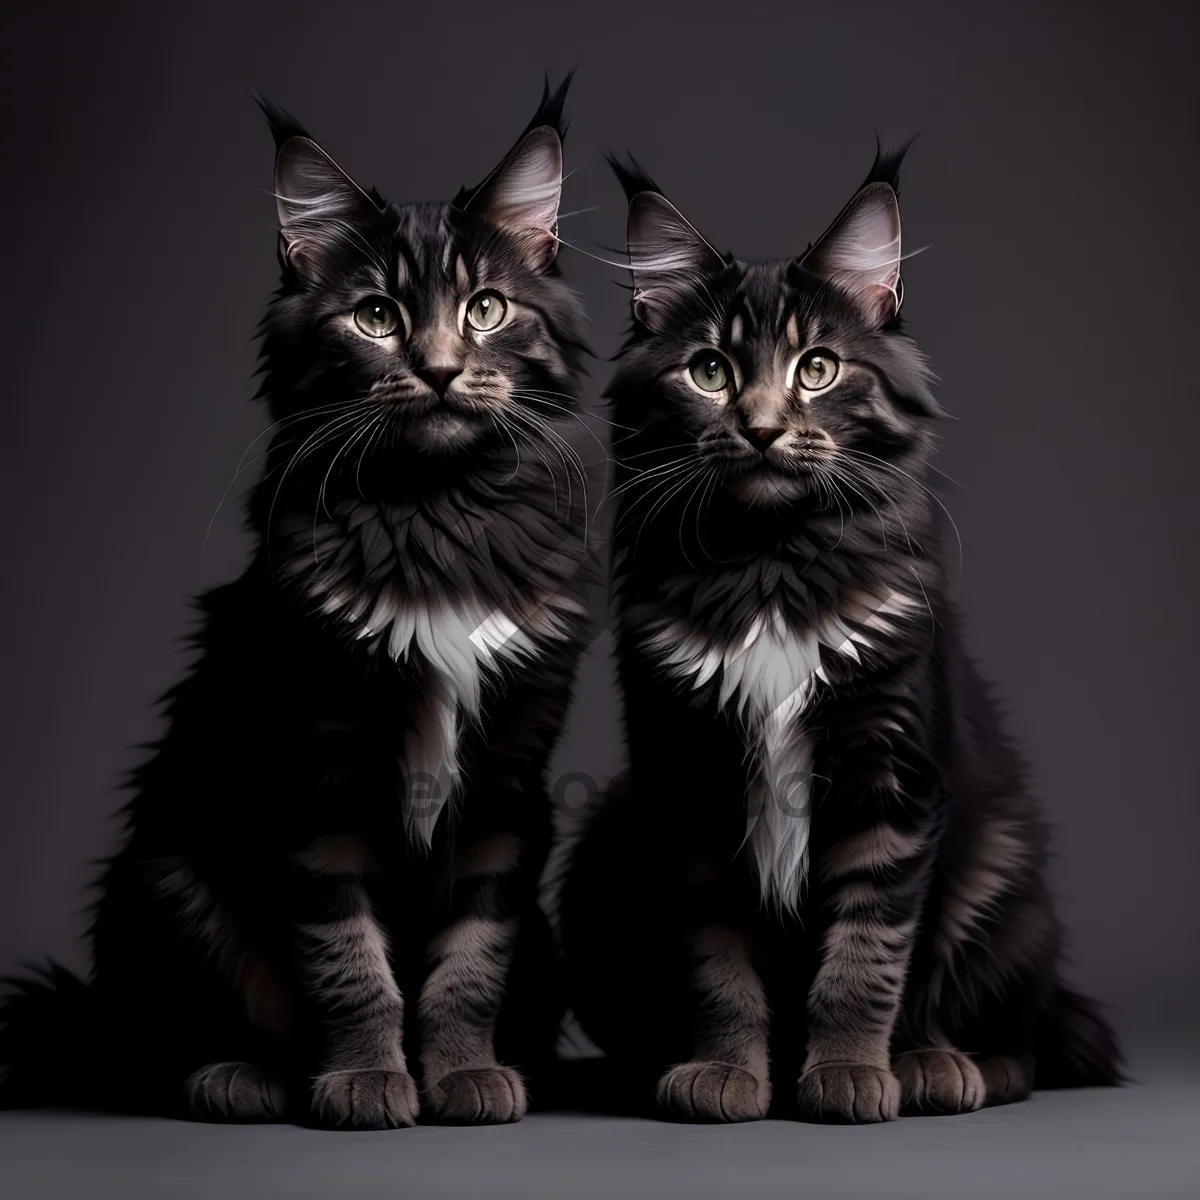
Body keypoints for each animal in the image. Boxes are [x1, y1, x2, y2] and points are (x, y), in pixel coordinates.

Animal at [1, 77, 595, 1132]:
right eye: (376, 316)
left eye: (486, 309)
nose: (440, 368)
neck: (434, 513)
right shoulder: (317, 779)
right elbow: (347, 962)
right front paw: (364, 1081)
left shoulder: (509, 788)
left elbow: (470, 963)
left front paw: (462, 1076)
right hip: (167, 878)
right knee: (167, 1037)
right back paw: (246, 1076)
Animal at [556, 147, 1118, 1123]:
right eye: (709, 372)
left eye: (817, 368)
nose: (763, 428)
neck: (771, 564)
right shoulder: (689, 778)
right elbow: (718, 964)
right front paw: (729, 1075)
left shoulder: (889, 775)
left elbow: (865, 955)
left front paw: (850, 1075)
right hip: (601, 845)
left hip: (1004, 868)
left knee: (1024, 1038)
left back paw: (940, 1066)